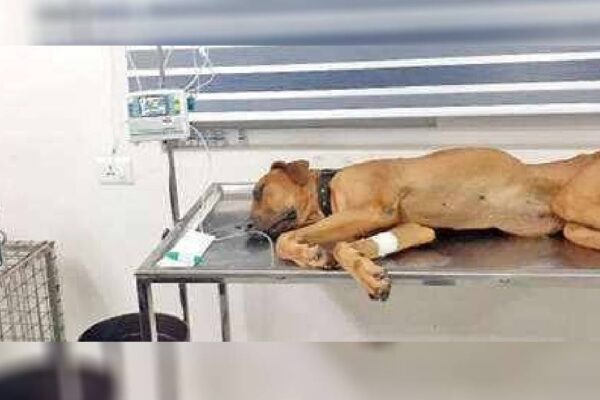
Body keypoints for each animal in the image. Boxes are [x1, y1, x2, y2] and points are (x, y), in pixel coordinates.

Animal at [250, 148, 600, 300]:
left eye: (259, 190)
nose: (247, 228)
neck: (328, 191)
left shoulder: (373, 209)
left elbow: (291, 239)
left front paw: (309, 252)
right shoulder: (414, 228)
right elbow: (348, 247)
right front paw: (367, 272)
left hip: (572, 200)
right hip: (571, 224)